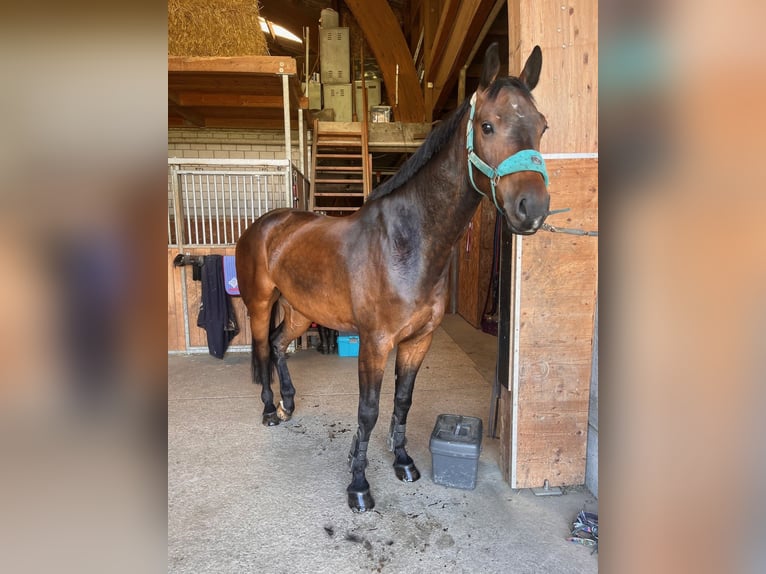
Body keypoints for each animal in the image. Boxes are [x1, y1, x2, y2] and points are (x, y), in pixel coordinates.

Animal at [236, 44, 552, 512]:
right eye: (487, 125)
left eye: (542, 126)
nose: (532, 209)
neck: (407, 243)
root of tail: (266, 224)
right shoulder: (375, 343)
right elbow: (368, 411)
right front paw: (359, 486)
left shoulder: (418, 340)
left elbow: (402, 401)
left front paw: (403, 461)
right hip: (259, 303)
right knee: (260, 349)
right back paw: (270, 411)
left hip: (298, 310)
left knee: (277, 345)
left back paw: (289, 403)